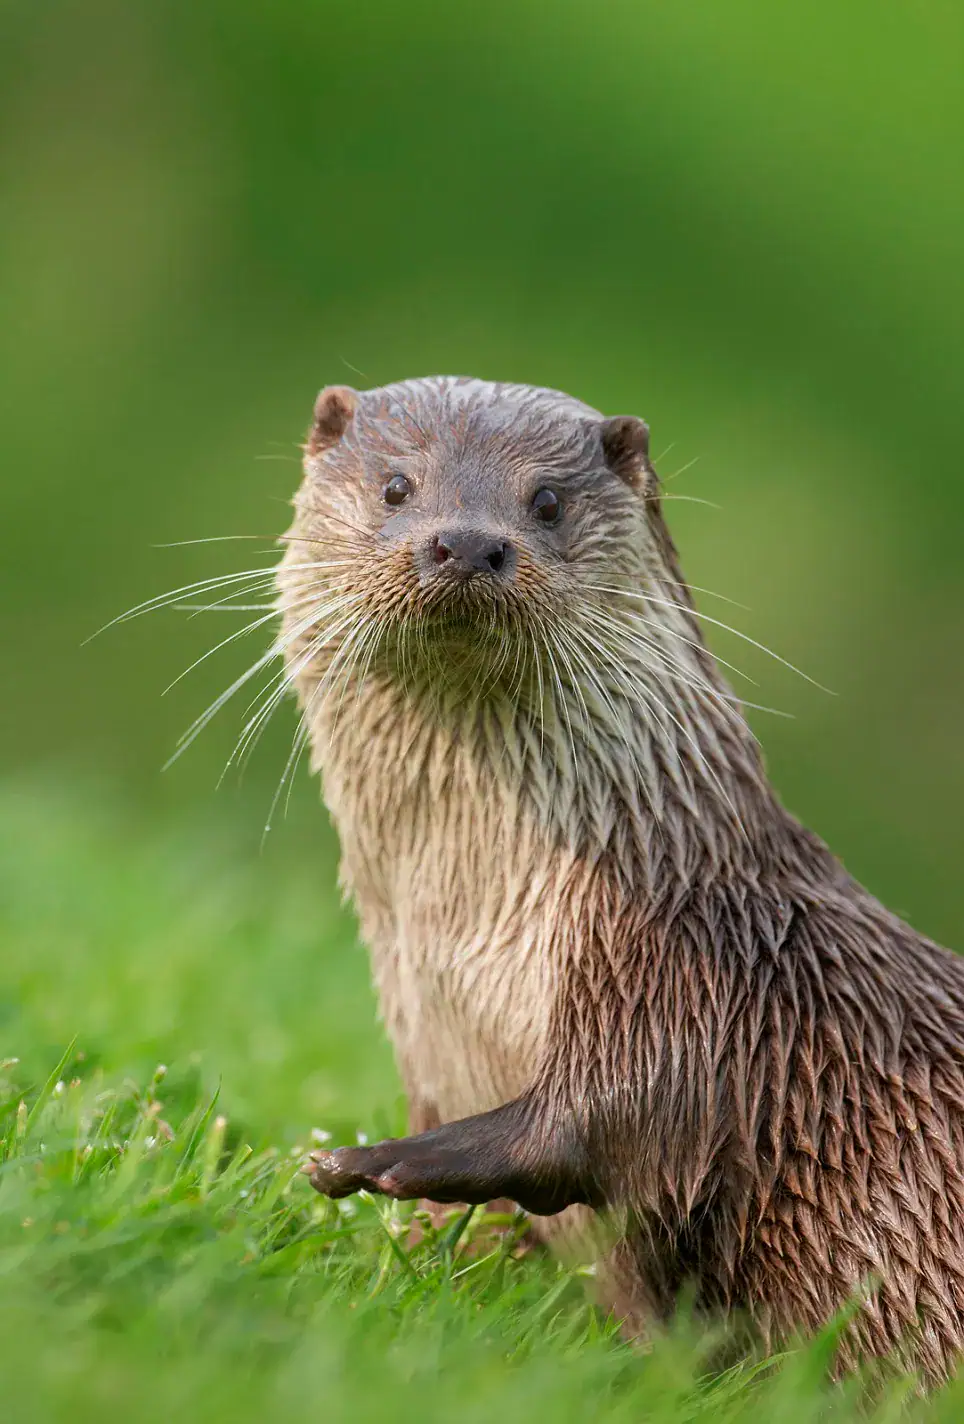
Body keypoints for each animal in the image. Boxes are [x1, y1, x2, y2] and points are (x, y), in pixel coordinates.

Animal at [281, 376, 964, 1383]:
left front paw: (382, 1161)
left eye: (546, 501)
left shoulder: (691, 980)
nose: (467, 542)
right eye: (397, 486)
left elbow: (607, 1119)